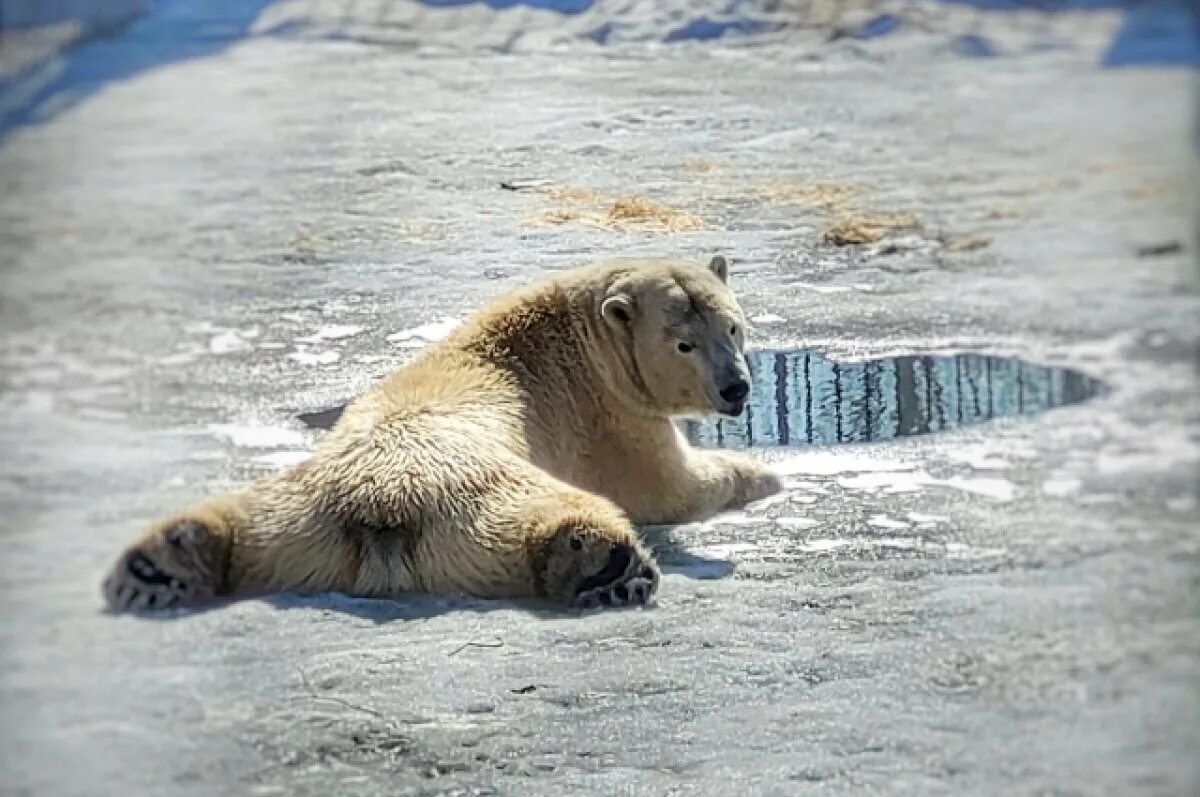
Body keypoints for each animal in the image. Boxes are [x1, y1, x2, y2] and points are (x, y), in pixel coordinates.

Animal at [100, 255, 777, 609]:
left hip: (293, 510)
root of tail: (378, 509)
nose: (737, 389)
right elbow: (669, 487)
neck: (575, 332)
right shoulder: (608, 415)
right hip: (480, 491)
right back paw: (602, 563)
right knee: (548, 515)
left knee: (241, 520)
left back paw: (161, 562)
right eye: (684, 343)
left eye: (733, 326)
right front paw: (765, 473)